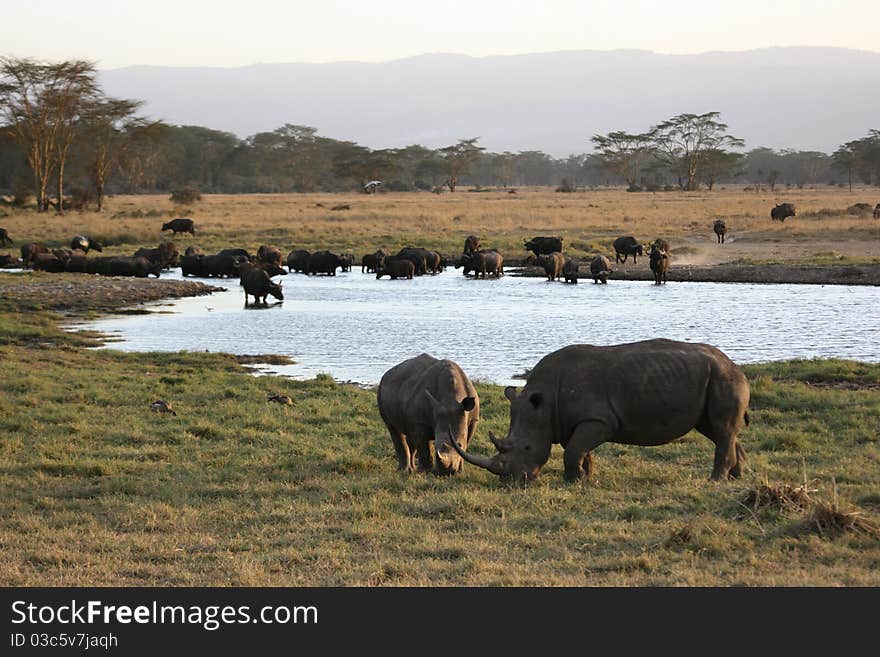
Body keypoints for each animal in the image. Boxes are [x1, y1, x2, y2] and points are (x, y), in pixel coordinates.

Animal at [454, 338, 748, 482]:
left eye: (526, 447)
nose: (512, 481)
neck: (543, 403)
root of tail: (735, 366)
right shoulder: (575, 421)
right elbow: (581, 451)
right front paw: (587, 477)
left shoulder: (599, 420)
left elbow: (574, 451)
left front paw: (572, 481)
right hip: (713, 379)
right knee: (718, 430)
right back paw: (735, 477)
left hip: (724, 379)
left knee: (721, 430)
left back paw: (715, 481)